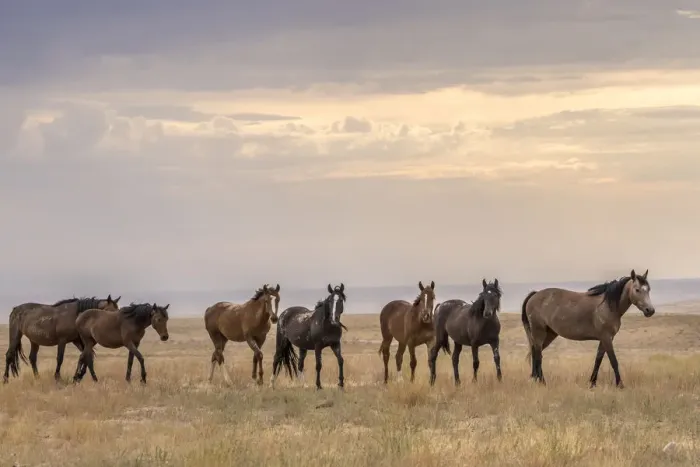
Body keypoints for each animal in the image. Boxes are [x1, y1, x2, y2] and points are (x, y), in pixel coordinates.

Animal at [521, 269, 655, 388]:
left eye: (648, 289)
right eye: (637, 290)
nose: (650, 310)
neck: (607, 306)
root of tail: (534, 295)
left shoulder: (605, 339)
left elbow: (598, 360)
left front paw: (592, 383)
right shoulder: (606, 338)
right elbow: (613, 361)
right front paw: (620, 385)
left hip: (549, 334)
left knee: (535, 353)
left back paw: (535, 379)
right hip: (539, 332)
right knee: (538, 355)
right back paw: (542, 382)